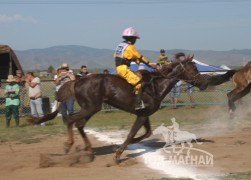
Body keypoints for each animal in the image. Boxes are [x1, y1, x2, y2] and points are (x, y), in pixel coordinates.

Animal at [29, 53, 208, 163]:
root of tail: (76, 80)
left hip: (91, 109)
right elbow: (131, 134)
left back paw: (88, 149)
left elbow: (145, 133)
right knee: (70, 119)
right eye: (194, 68)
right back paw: (69, 145)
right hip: (90, 108)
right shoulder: (142, 115)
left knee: (78, 124)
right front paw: (118, 154)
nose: (205, 83)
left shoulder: (144, 115)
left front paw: (125, 146)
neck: (156, 86)